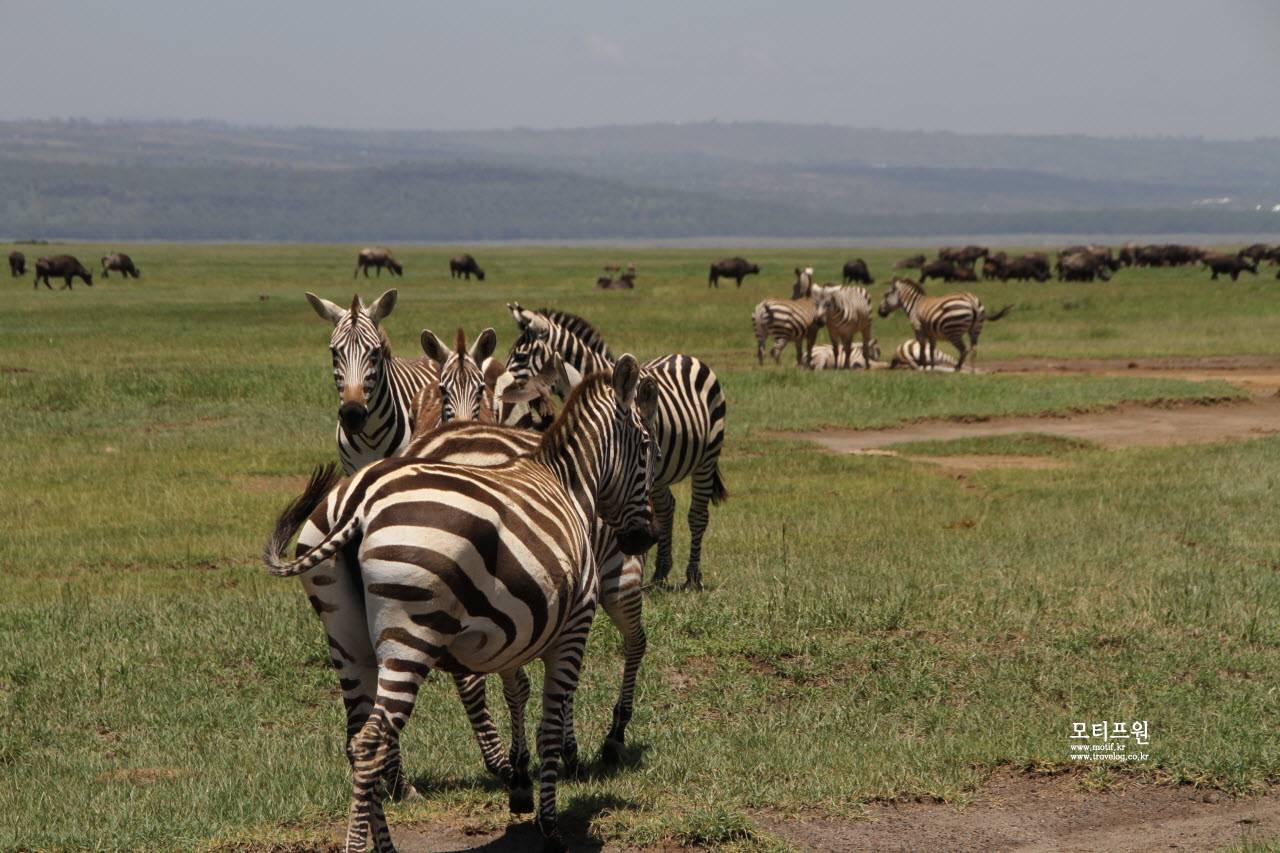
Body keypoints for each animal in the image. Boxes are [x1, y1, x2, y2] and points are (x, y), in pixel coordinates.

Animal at [261, 356, 660, 850]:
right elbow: (550, 722)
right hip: (411, 631)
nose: (645, 538)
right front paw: (550, 824)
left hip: (346, 637)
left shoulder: (519, 624)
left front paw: (522, 786)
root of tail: (358, 504)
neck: (571, 483)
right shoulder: (574, 622)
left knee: (356, 740)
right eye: (648, 446)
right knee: (373, 740)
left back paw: (387, 842)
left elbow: (518, 691)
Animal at [509, 302, 732, 589]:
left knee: (697, 515)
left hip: (707, 457)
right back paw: (660, 573)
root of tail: (686, 356)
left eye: (522, 357)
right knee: (667, 509)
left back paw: (692, 577)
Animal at [875, 277, 1013, 371]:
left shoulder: (918, 328)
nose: (879, 313)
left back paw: (957, 367)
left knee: (964, 349)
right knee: (973, 349)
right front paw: (930, 366)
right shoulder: (931, 333)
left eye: (886, 295)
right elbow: (931, 349)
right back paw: (972, 371)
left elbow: (922, 346)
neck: (914, 305)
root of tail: (972, 301)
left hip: (953, 330)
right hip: (976, 329)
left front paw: (922, 364)